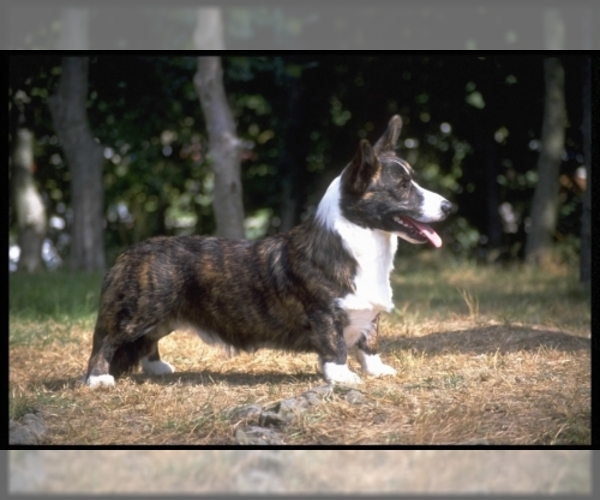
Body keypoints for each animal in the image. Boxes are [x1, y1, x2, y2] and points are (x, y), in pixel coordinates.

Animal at [84, 115, 450, 388]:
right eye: (402, 187)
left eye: (412, 181)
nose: (449, 206)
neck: (360, 244)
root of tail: (128, 253)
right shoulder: (324, 314)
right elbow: (335, 347)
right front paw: (342, 377)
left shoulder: (369, 316)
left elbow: (369, 344)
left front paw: (377, 371)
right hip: (139, 312)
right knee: (106, 339)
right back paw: (98, 378)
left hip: (163, 316)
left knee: (147, 341)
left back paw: (156, 368)